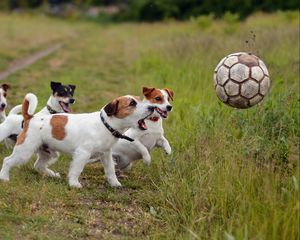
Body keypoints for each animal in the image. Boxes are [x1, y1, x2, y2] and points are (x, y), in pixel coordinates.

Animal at [0, 94, 155, 188]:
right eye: (132, 103)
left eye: (140, 99)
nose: (152, 107)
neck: (104, 124)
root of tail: (30, 118)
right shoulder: (82, 154)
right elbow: (77, 169)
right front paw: (74, 184)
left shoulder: (106, 154)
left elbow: (110, 170)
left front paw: (114, 183)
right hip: (24, 151)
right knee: (7, 160)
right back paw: (4, 178)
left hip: (49, 153)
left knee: (38, 165)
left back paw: (52, 175)